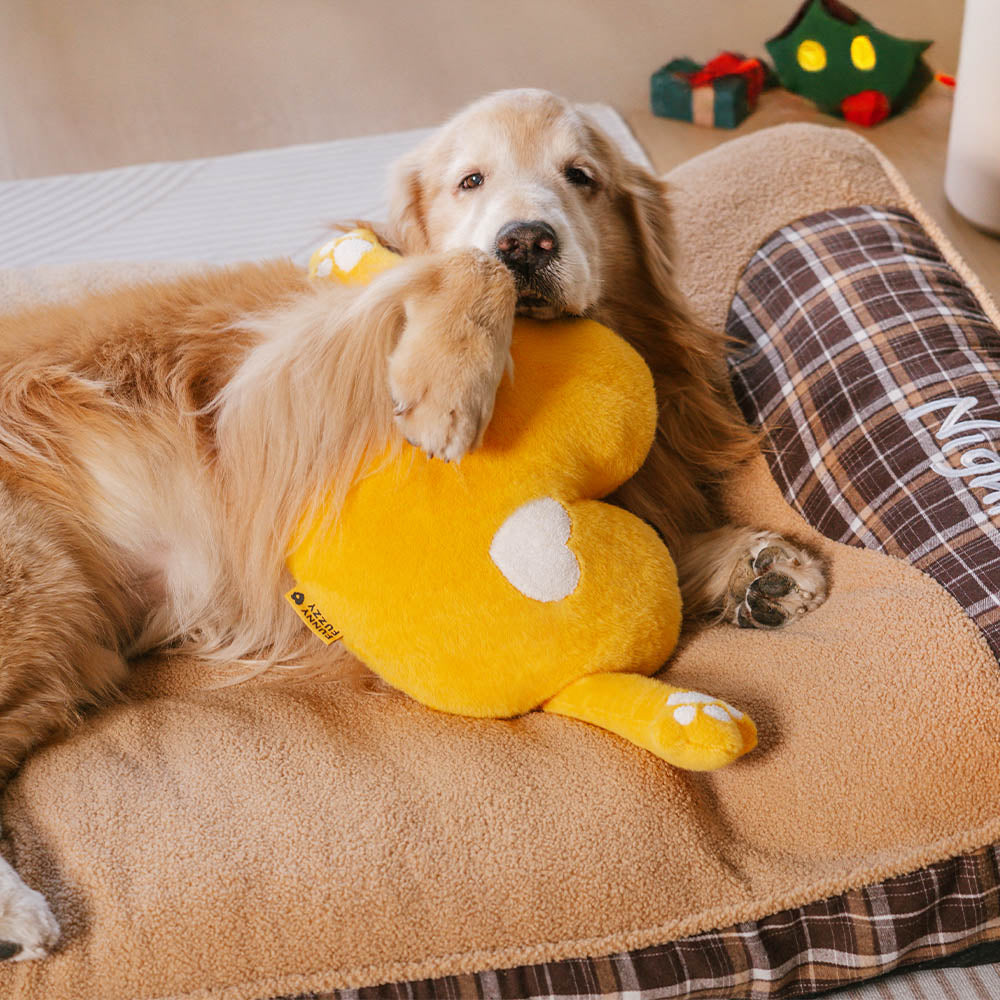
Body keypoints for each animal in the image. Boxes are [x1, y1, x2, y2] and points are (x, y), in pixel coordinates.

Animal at [0, 90, 828, 956]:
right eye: (470, 180)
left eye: (582, 176)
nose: (526, 241)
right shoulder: (270, 398)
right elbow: (459, 268)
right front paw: (447, 386)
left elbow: (666, 536)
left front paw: (756, 566)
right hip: (34, 582)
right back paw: (18, 912)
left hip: (67, 648)